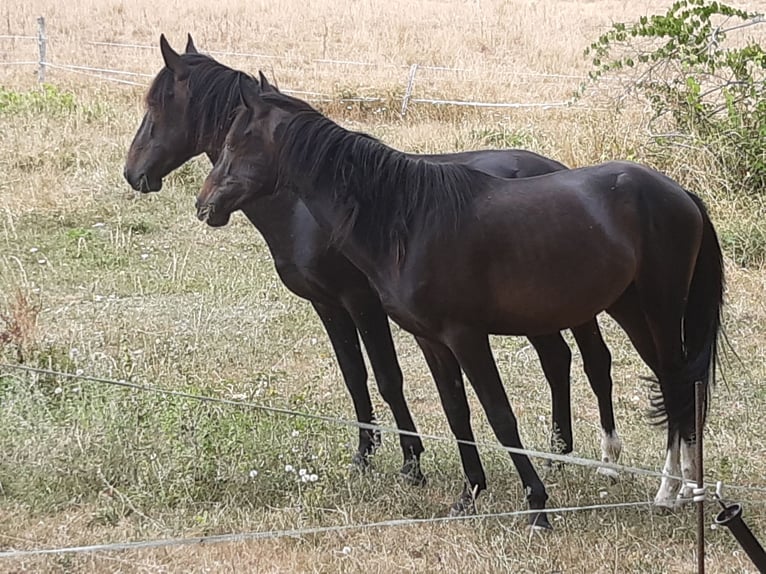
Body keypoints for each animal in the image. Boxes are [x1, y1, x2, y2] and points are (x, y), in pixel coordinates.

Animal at [124, 34, 622, 494]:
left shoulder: (361, 301)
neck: (303, 207)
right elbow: (354, 376)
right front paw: (364, 455)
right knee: (558, 359)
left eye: (159, 103)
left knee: (583, 361)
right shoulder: (327, 305)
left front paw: (411, 462)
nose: (134, 174)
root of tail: (555, 168)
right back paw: (557, 455)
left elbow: (387, 377)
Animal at [197, 74, 724, 529]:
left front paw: (537, 506)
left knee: (676, 383)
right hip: (632, 310)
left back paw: (669, 492)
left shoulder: (467, 337)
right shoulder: (431, 340)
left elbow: (500, 416)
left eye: (236, 142)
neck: (408, 222)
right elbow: (457, 414)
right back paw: (679, 490)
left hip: (659, 309)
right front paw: (469, 495)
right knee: (674, 383)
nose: (204, 206)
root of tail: (679, 193)